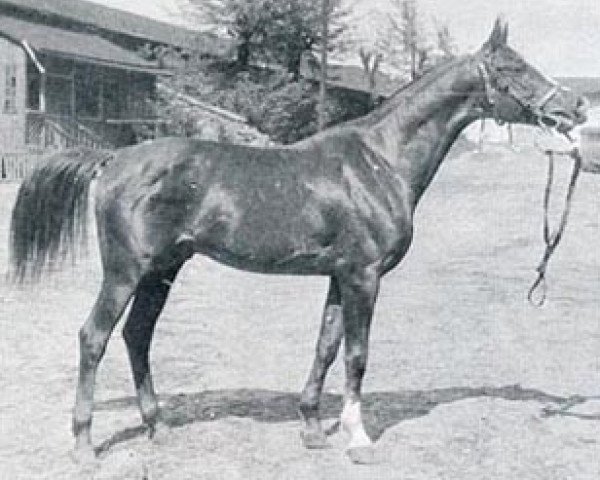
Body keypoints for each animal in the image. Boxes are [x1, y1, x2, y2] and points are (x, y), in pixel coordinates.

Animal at [8, 19, 592, 464]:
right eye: (515, 69)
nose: (578, 107)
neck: (379, 161)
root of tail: (113, 160)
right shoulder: (363, 277)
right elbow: (357, 353)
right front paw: (358, 439)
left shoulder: (340, 275)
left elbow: (326, 347)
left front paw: (312, 429)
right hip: (126, 271)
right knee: (94, 337)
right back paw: (84, 445)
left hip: (163, 270)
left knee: (137, 336)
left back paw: (158, 427)